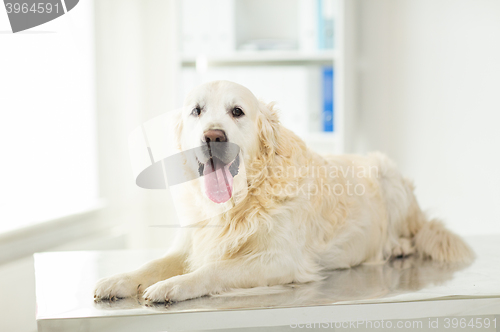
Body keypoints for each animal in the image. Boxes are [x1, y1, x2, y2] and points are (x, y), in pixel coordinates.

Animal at [94, 80, 472, 304]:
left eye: (237, 111)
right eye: (196, 111)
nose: (213, 136)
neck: (239, 203)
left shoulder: (281, 260)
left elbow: (214, 270)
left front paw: (173, 285)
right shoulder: (191, 242)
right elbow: (151, 264)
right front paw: (119, 280)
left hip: (389, 177)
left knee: (414, 233)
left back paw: (397, 246)